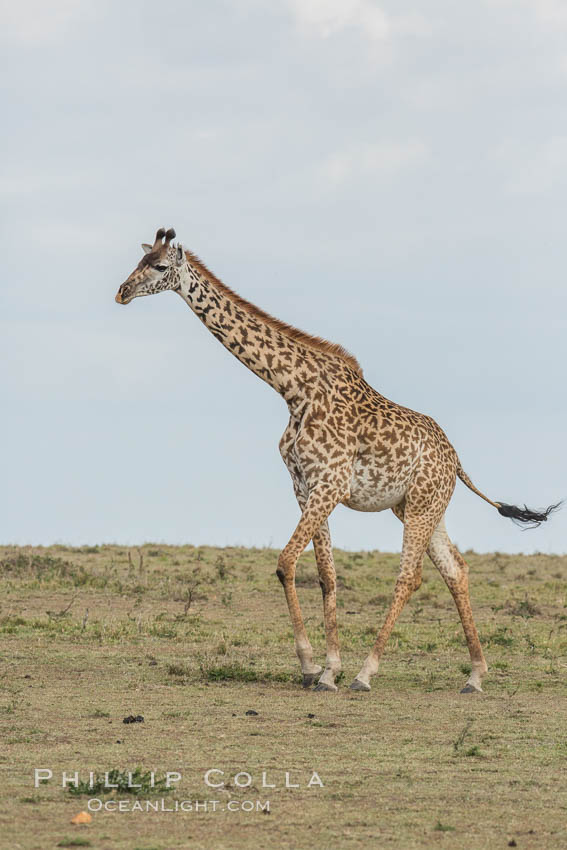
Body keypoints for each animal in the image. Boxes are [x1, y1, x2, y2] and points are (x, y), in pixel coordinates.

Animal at [115, 229, 560, 692]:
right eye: (139, 260)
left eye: (159, 266)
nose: (122, 292)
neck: (293, 389)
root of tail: (455, 459)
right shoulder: (304, 487)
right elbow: (326, 574)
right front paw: (328, 670)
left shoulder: (329, 485)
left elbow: (285, 563)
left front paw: (312, 666)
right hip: (418, 507)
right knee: (455, 569)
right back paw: (475, 674)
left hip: (422, 506)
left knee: (410, 576)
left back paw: (367, 673)